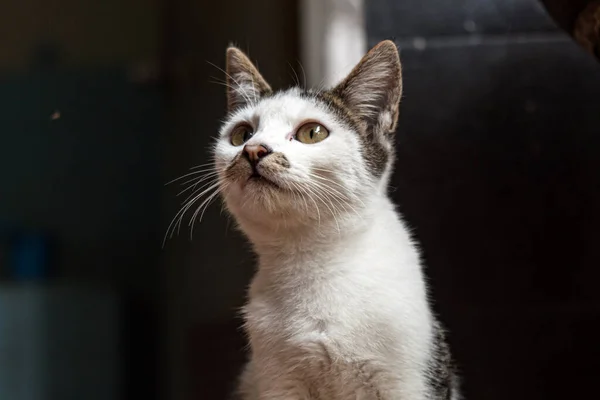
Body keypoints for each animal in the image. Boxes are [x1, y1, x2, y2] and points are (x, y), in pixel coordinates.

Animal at [213, 40, 462, 400]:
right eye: (241, 134)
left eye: (312, 133)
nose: (254, 150)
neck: (312, 262)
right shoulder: (275, 380)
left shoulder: (409, 379)